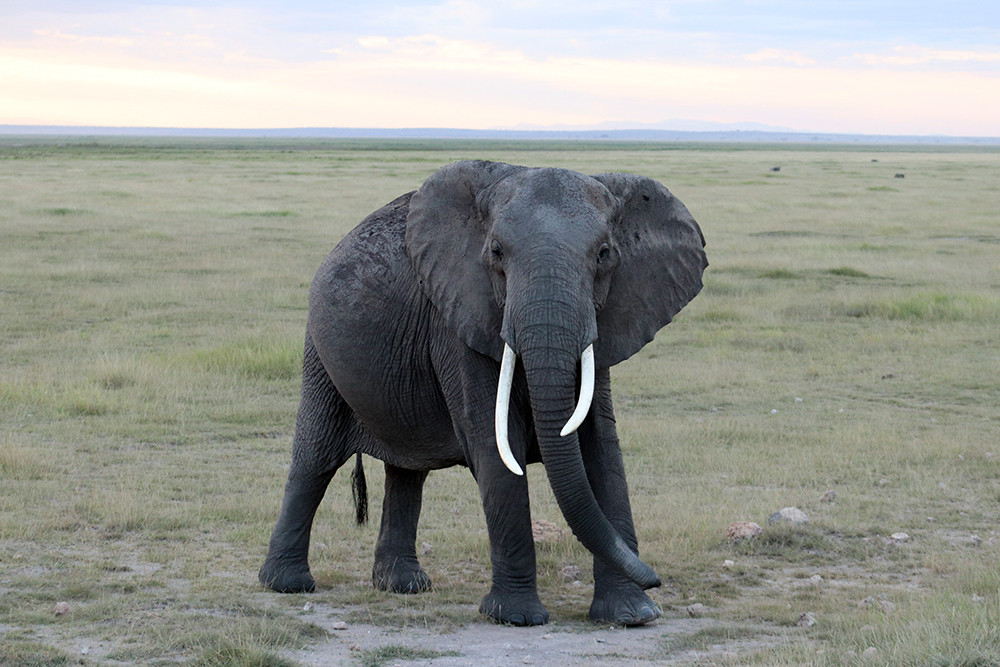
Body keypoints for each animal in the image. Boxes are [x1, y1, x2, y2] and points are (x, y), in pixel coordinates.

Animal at [258, 160, 707, 626]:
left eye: (604, 254)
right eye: (496, 253)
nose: (655, 578)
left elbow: (601, 446)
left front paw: (633, 615)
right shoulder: (457, 320)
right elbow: (495, 444)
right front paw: (517, 618)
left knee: (407, 471)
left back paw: (403, 586)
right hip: (318, 351)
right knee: (316, 458)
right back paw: (288, 584)